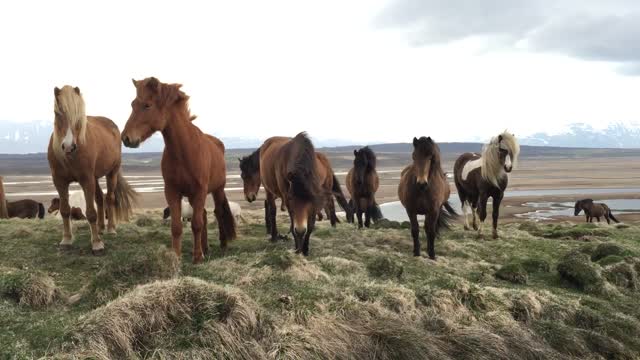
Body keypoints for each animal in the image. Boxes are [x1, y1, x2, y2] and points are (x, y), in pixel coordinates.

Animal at [47, 84, 139, 255]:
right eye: (57, 113)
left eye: (79, 115)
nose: (68, 146)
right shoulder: (59, 181)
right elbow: (65, 210)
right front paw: (66, 240)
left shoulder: (86, 179)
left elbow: (90, 212)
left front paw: (96, 243)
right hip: (95, 178)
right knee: (100, 198)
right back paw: (101, 228)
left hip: (111, 173)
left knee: (109, 198)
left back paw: (110, 229)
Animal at [121, 76, 236, 262]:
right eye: (133, 104)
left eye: (147, 105)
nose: (126, 138)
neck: (184, 150)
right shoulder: (172, 192)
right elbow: (177, 226)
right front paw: (176, 255)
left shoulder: (200, 191)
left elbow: (196, 224)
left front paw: (197, 257)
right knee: (204, 215)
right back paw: (205, 247)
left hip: (217, 190)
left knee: (218, 213)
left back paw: (222, 245)